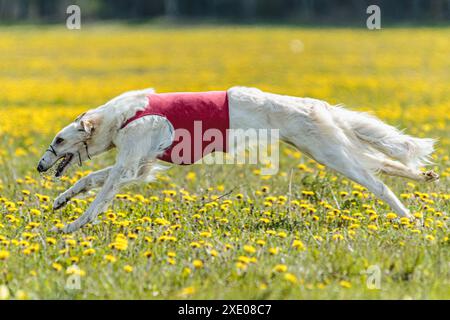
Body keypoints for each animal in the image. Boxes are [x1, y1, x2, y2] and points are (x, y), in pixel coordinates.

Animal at [37, 87, 440, 232]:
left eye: (58, 140)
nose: (40, 166)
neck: (119, 117)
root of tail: (315, 104)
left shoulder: (130, 164)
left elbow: (99, 197)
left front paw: (71, 227)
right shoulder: (140, 166)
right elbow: (86, 181)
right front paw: (60, 202)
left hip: (333, 155)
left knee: (380, 183)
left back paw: (411, 219)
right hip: (328, 150)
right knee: (388, 164)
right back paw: (424, 179)